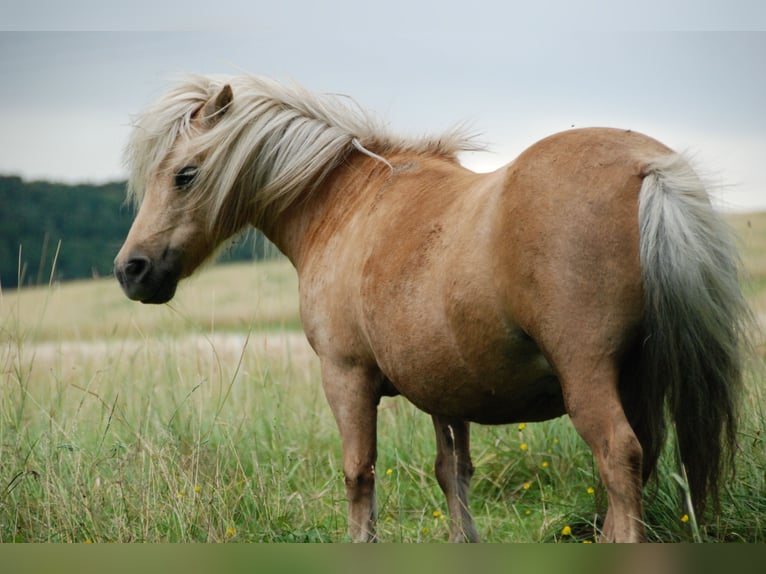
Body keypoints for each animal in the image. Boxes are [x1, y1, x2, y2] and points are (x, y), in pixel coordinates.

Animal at [114, 75, 752, 542]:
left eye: (185, 175)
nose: (131, 269)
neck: (346, 205)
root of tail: (648, 168)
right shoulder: (446, 390)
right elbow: (454, 476)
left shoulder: (346, 377)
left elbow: (359, 475)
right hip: (640, 378)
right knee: (641, 462)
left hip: (588, 376)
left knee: (619, 458)